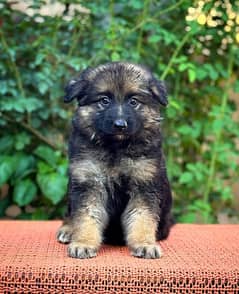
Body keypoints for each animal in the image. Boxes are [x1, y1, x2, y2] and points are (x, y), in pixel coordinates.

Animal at [57, 61, 173, 258]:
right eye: (104, 100)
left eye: (133, 101)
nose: (120, 125)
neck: (116, 148)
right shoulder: (88, 181)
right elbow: (86, 215)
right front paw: (83, 242)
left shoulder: (144, 184)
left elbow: (142, 217)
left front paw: (145, 244)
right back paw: (68, 229)